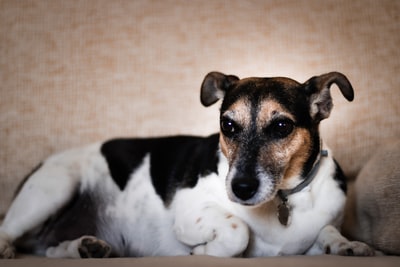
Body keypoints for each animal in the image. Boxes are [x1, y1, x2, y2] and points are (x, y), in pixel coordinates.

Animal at [0, 71, 376, 260]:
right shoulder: (188, 212)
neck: (283, 200)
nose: (241, 188)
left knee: (50, 251)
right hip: (54, 187)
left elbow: (327, 231)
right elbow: (237, 232)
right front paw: (204, 251)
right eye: (228, 125)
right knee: (8, 231)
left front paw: (348, 245)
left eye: (282, 126)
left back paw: (84, 247)